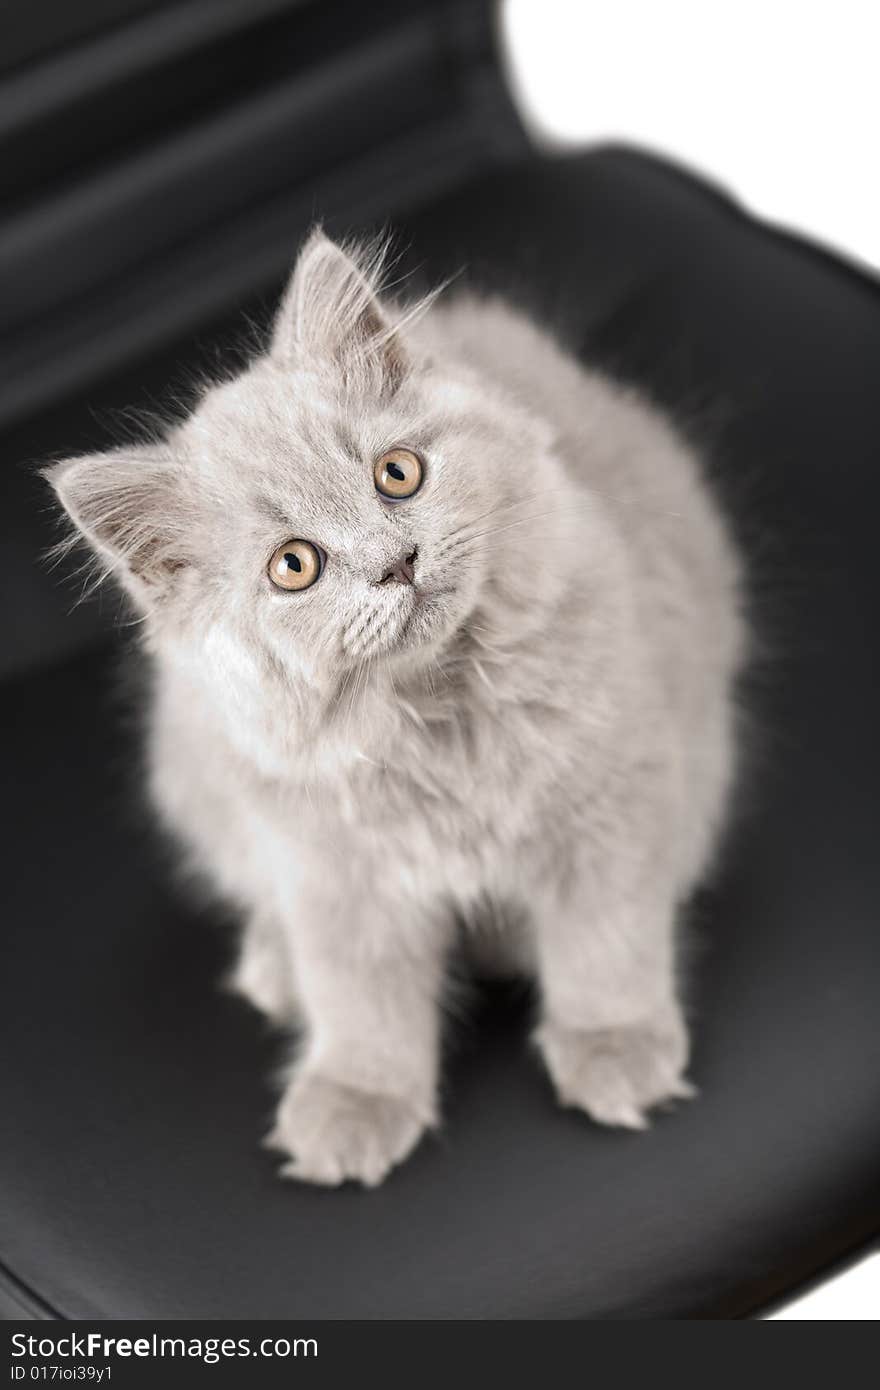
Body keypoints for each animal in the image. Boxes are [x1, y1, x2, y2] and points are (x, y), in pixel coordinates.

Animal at [47, 227, 745, 1184]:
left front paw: (614, 1045)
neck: (437, 710)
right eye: (294, 565)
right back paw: (275, 970)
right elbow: (361, 1000)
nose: (396, 560)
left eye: (398, 474)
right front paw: (358, 1101)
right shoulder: (334, 873)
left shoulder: (614, 798)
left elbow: (607, 938)